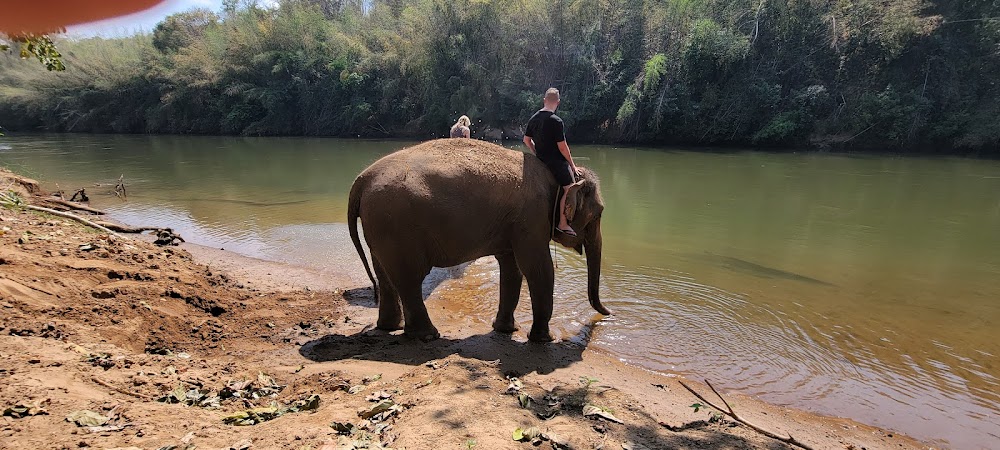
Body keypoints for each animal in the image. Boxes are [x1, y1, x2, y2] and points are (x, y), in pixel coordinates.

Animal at [344, 137, 608, 342]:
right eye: (599, 213)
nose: (608, 313)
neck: (559, 175)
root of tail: (362, 179)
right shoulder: (531, 219)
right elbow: (538, 269)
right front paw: (544, 339)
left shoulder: (513, 224)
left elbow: (512, 269)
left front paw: (506, 330)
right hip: (397, 227)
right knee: (408, 278)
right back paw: (427, 335)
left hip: (381, 227)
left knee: (385, 274)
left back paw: (390, 327)